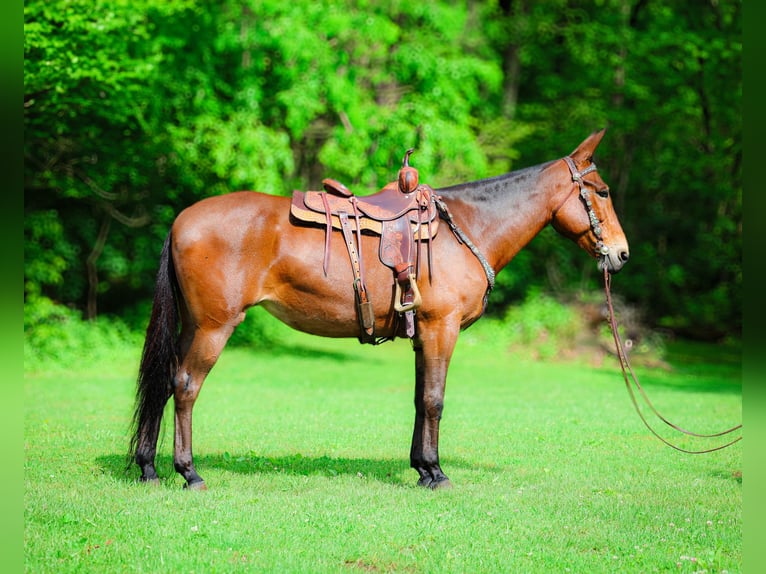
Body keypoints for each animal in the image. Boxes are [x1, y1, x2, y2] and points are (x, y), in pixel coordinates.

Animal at [129, 128, 629, 490]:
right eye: (603, 191)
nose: (622, 253)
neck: (467, 228)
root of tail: (182, 219)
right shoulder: (441, 328)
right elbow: (434, 400)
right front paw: (436, 473)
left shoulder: (423, 334)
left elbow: (419, 398)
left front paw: (421, 467)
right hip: (214, 326)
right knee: (186, 386)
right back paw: (189, 472)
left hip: (193, 325)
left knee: (164, 381)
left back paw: (148, 466)